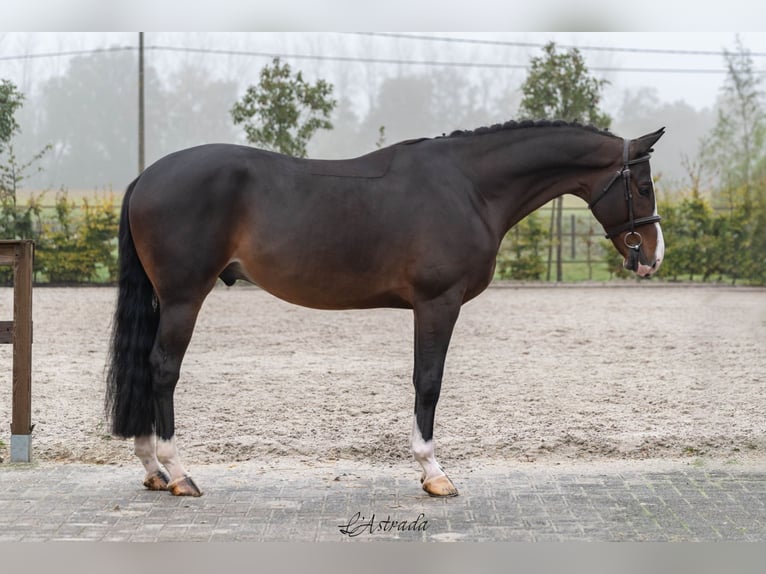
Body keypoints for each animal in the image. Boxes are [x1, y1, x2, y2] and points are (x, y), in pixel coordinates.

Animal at [106, 121, 664, 500]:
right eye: (642, 187)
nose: (652, 258)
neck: (469, 186)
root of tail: (146, 177)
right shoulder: (438, 303)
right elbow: (429, 382)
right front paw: (434, 473)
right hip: (183, 297)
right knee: (163, 370)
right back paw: (179, 473)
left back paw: (153, 469)